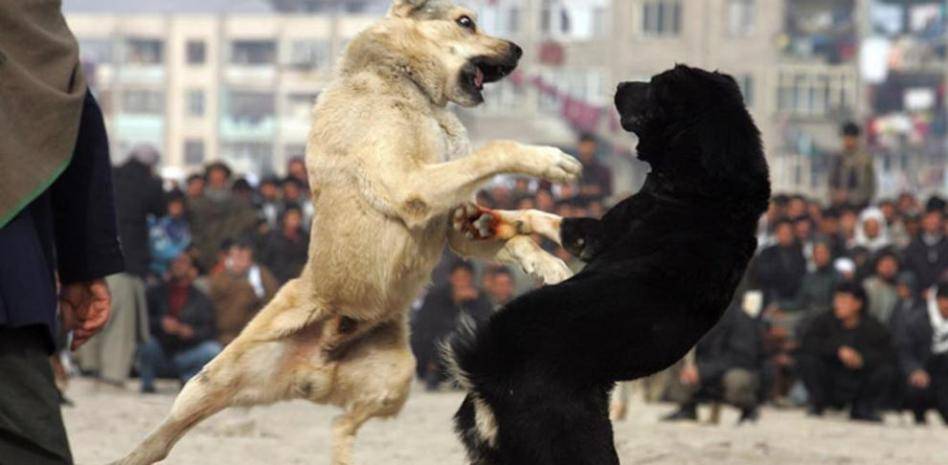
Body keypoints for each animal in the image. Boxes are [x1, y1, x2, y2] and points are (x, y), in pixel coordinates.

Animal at [109, 0, 584, 464]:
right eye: (465, 22)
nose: (519, 50)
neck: (409, 84)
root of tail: (317, 363)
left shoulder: (458, 219)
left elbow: (515, 226)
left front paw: (547, 262)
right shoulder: (409, 183)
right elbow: (496, 149)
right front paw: (548, 160)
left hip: (397, 377)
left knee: (341, 424)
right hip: (211, 380)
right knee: (161, 439)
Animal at [446, 65, 772, 464]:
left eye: (656, 85)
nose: (619, 84)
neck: (710, 188)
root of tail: (488, 370)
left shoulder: (593, 236)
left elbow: (537, 214)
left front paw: (487, 219)